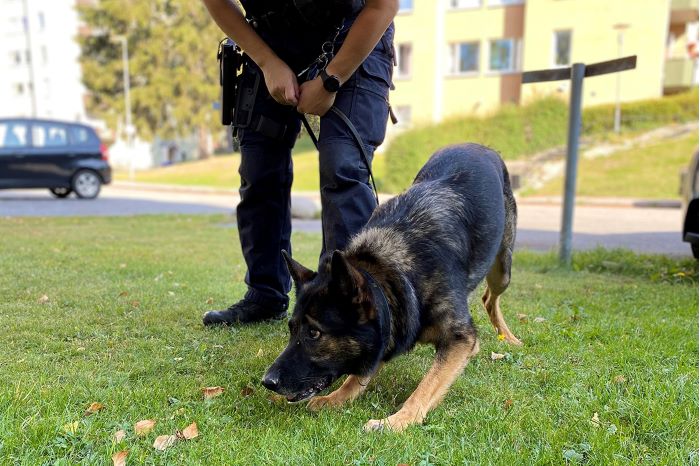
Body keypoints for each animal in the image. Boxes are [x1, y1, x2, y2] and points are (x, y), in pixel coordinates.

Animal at [262, 144, 520, 432]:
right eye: (291, 329)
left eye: (314, 333)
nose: (267, 381)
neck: (393, 274)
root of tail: (480, 147)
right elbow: (359, 375)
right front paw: (336, 398)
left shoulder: (460, 339)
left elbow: (426, 386)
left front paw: (397, 420)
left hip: (502, 270)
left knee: (490, 297)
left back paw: (508, 337)